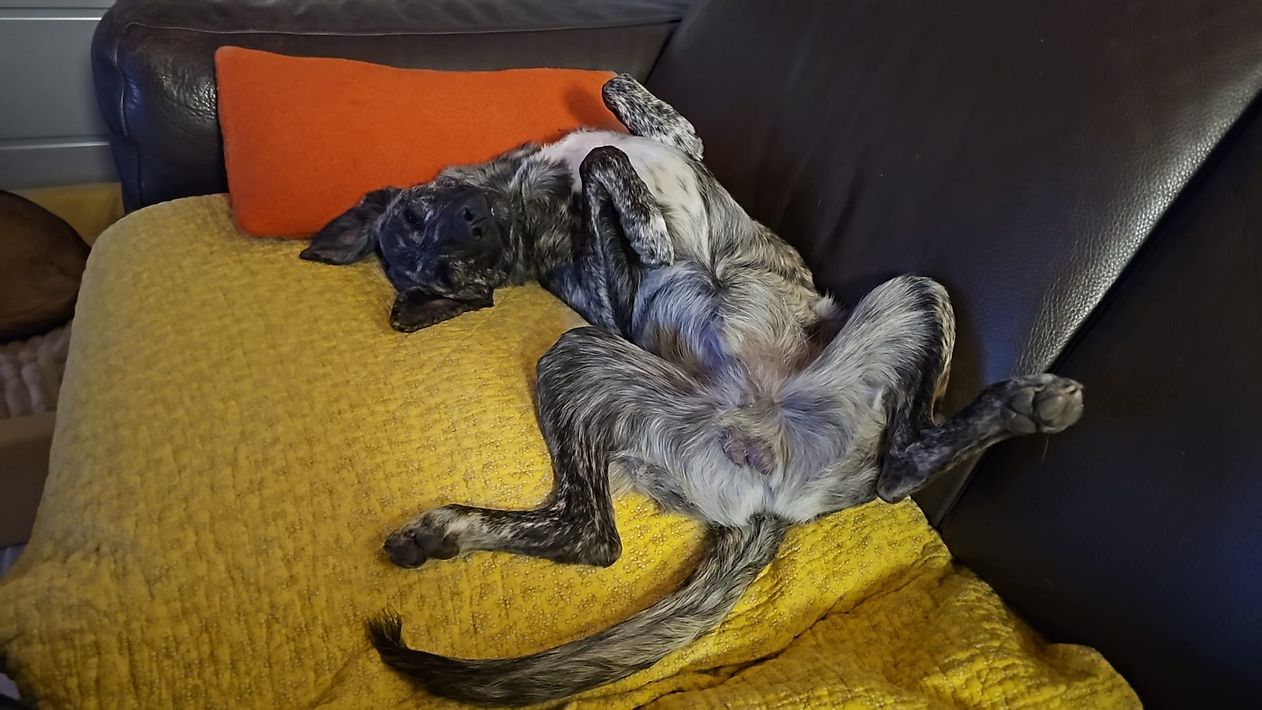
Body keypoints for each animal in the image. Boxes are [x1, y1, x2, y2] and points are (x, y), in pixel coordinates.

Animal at [302, 74, 1084, 705]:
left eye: (419, 216)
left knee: (902, 462)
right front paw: (647, 226)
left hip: (915, 292)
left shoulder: (670, 146)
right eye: (452, 275)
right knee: (593, 537)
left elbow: (622, 105)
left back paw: (1019, 405)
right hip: (580, 351)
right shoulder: (612, 304)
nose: (473, 229)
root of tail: (770, 495)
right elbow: (608, 164)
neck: (527, 201)